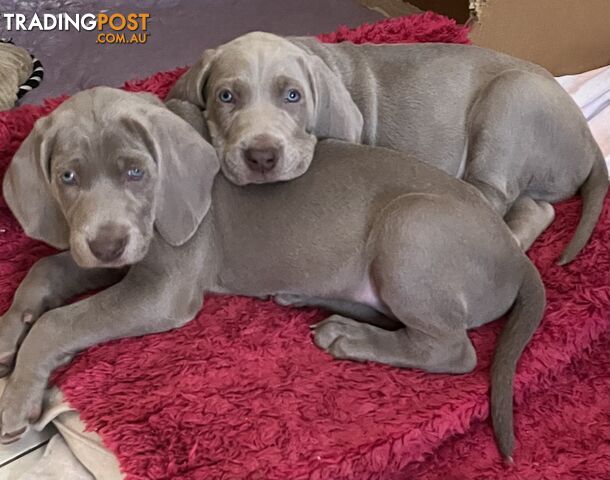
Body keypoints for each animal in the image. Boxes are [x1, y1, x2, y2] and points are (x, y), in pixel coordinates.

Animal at [0, 88, 540, 460]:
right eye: (67, 178)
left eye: (137, 173)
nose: (107, 245)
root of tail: (518, 258)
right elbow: (45, 268)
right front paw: (10, 329)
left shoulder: (163, 288)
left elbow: (60, 322)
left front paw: (17, 395)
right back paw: (314, 303)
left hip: (410, 225)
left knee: (451, 349)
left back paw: (350, 338)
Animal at [166, 31, 608, 264]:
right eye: (226, 96)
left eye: (293, 96)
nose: (261, 157)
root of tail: (590, 141)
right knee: (538, 207)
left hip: (511, 95)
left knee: (495, 195)